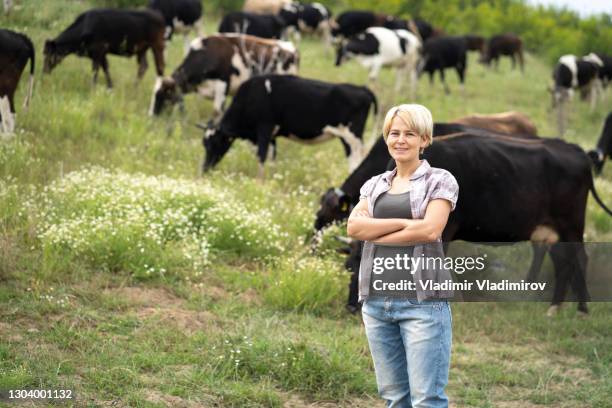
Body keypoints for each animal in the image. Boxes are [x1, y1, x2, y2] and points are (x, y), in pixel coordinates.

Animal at [201, 74, 376, 176]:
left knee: (356, 162)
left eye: (215, 143)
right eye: (204, 144)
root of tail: (362, 89)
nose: (204, 169)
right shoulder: (272, 136)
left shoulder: (264, 128)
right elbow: (271, 158)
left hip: (352, 138)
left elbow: (261, 156)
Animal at [340, 131, 612, 316]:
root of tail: (574, 149)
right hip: (551, 230)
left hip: (571, 224)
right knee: (563, 262)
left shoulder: (441, 231)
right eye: (349, 266)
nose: (352, 306)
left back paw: (582, 308)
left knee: (579, 258)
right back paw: (556, 307)